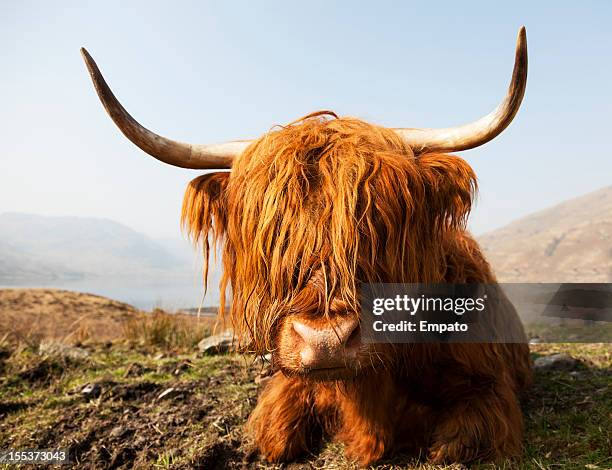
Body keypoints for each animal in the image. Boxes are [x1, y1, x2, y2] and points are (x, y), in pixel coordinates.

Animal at [80, 27, 532, 464]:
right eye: (273, 232)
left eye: (379, 224)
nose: (326, 341)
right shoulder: (288, 384)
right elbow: (275, 432)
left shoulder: (487, 385)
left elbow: (458, 440)